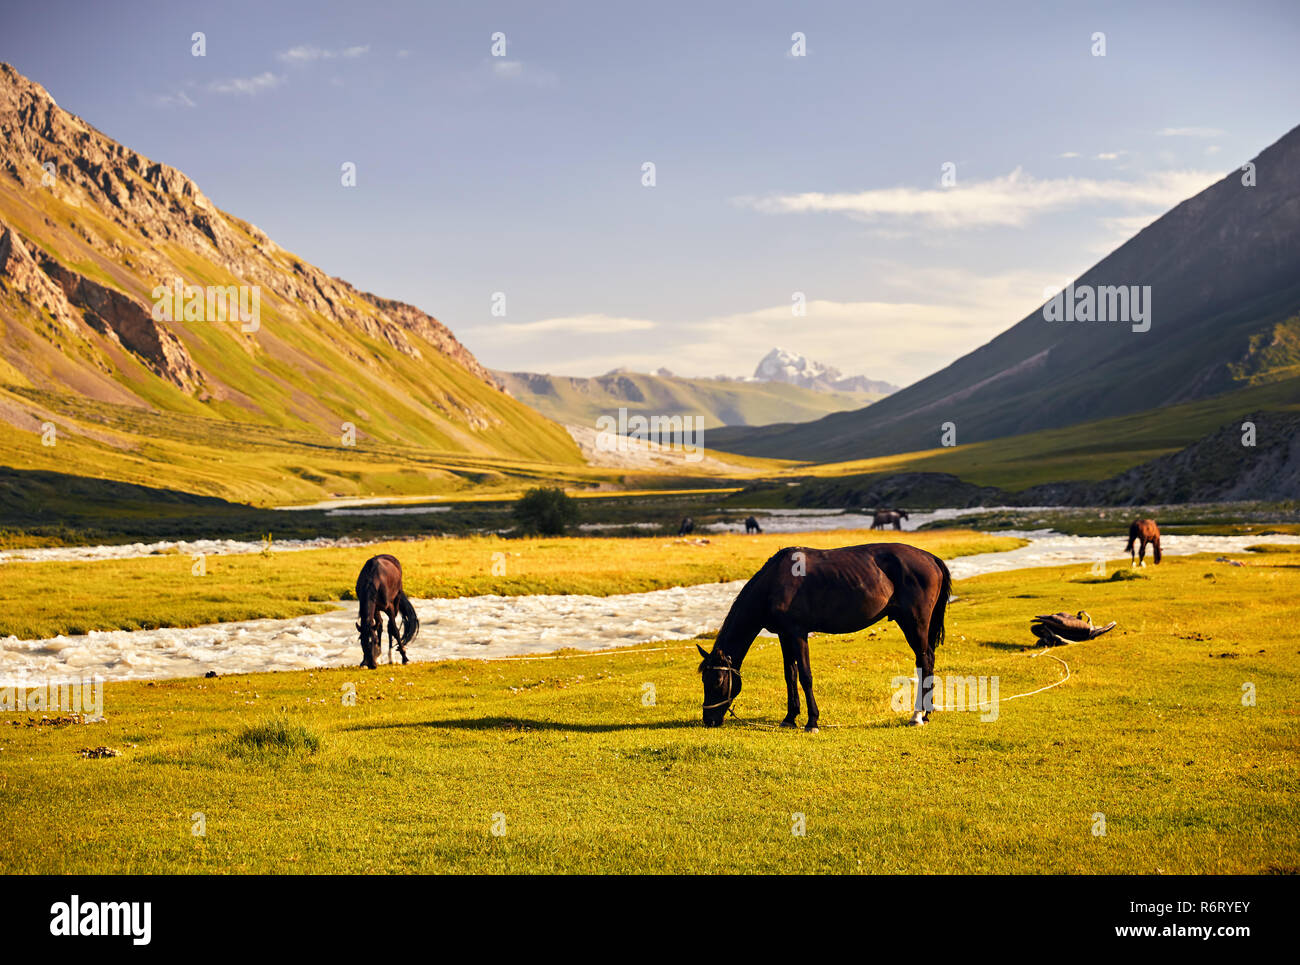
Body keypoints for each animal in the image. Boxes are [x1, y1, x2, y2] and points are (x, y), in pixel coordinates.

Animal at [696, 543, 951, 733]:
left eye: (717, 681)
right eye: (703, 680)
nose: (709, 720)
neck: (774, 583)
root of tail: (931, 558)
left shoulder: (798, 634)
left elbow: (805, 676)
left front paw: (812, 722)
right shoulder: (784, 635)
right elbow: (790, 676)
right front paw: (789, 718)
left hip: (915, 623)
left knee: (924, 661)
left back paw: (917, 716)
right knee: (928, 660)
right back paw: (926, 714)